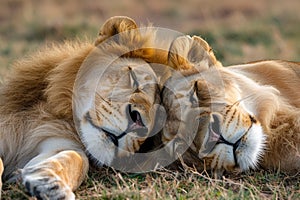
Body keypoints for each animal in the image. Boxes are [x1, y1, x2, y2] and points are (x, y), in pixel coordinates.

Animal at [0, 16, 166, 199]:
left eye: (155, 126)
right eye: (135, 79)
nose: (138, 124)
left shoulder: (57, 143)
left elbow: (77, 159)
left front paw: (51, 185)